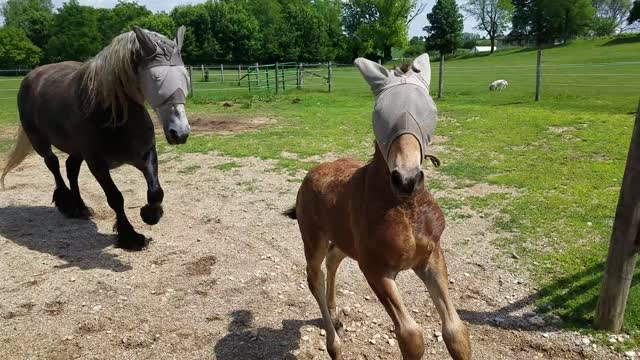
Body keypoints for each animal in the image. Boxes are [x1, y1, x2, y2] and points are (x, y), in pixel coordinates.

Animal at [1, 26, 190, 250]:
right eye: (156, 79)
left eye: (184, 77)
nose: (180, 133)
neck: (114, 115)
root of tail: (31, 76)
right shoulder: (97, 163)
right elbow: (115, 198)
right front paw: (130, 236)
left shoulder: (145, 154)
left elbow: (155, 191)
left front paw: (150, 215)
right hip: (40, 142)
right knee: (53, 164)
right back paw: (67, 204)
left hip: (76, 150)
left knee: (71, 169)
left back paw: (80, 207)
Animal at [284, 54, 470, 358]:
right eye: (379, 114)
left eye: (430, 110)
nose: (406, 179)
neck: (406, 208)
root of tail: (312, 172)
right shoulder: (375, 270)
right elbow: (411, 336)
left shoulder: (431, 257)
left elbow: (456, 332)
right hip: (313, 239)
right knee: (314, 276)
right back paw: (333, 343)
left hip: (345, 240)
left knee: (333, 259)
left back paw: (335, 315)